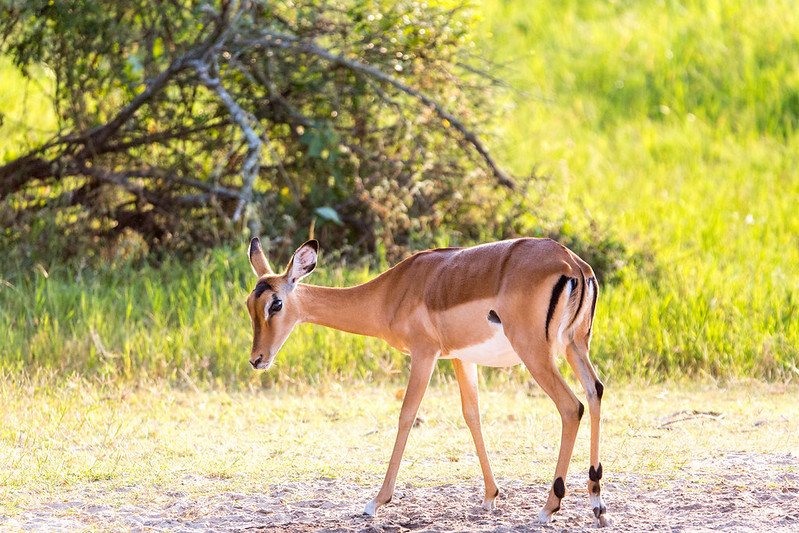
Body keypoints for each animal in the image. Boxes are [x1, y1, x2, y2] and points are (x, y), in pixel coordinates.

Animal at [245, 237, 608, 526]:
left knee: (570, 406)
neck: (392, 291)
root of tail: (573, 264)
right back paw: (597, 503)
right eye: (250, 304)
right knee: (595, 391)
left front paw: (375, 502)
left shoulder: (424, 354)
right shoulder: (463, 358)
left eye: (276, 304)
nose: (257, 359)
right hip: (575, 346)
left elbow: (407, 414)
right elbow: (472, 415)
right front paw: (490, 496)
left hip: (536, 353)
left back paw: (549, 508)